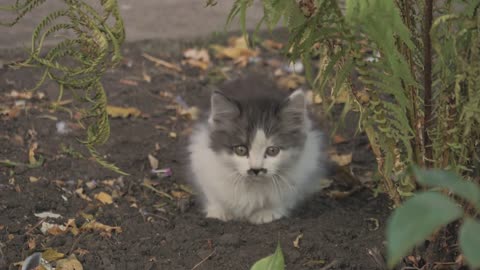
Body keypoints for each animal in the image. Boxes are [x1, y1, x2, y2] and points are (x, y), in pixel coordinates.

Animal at [187, 76, 322, 224]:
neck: (252, 186)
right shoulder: (201, 161)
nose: (256, 169)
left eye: (272, 150)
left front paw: (267, 213)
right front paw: (219, 212)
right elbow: (213, 195)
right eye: (241, 150)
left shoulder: (305, 168)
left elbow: (284, 198)